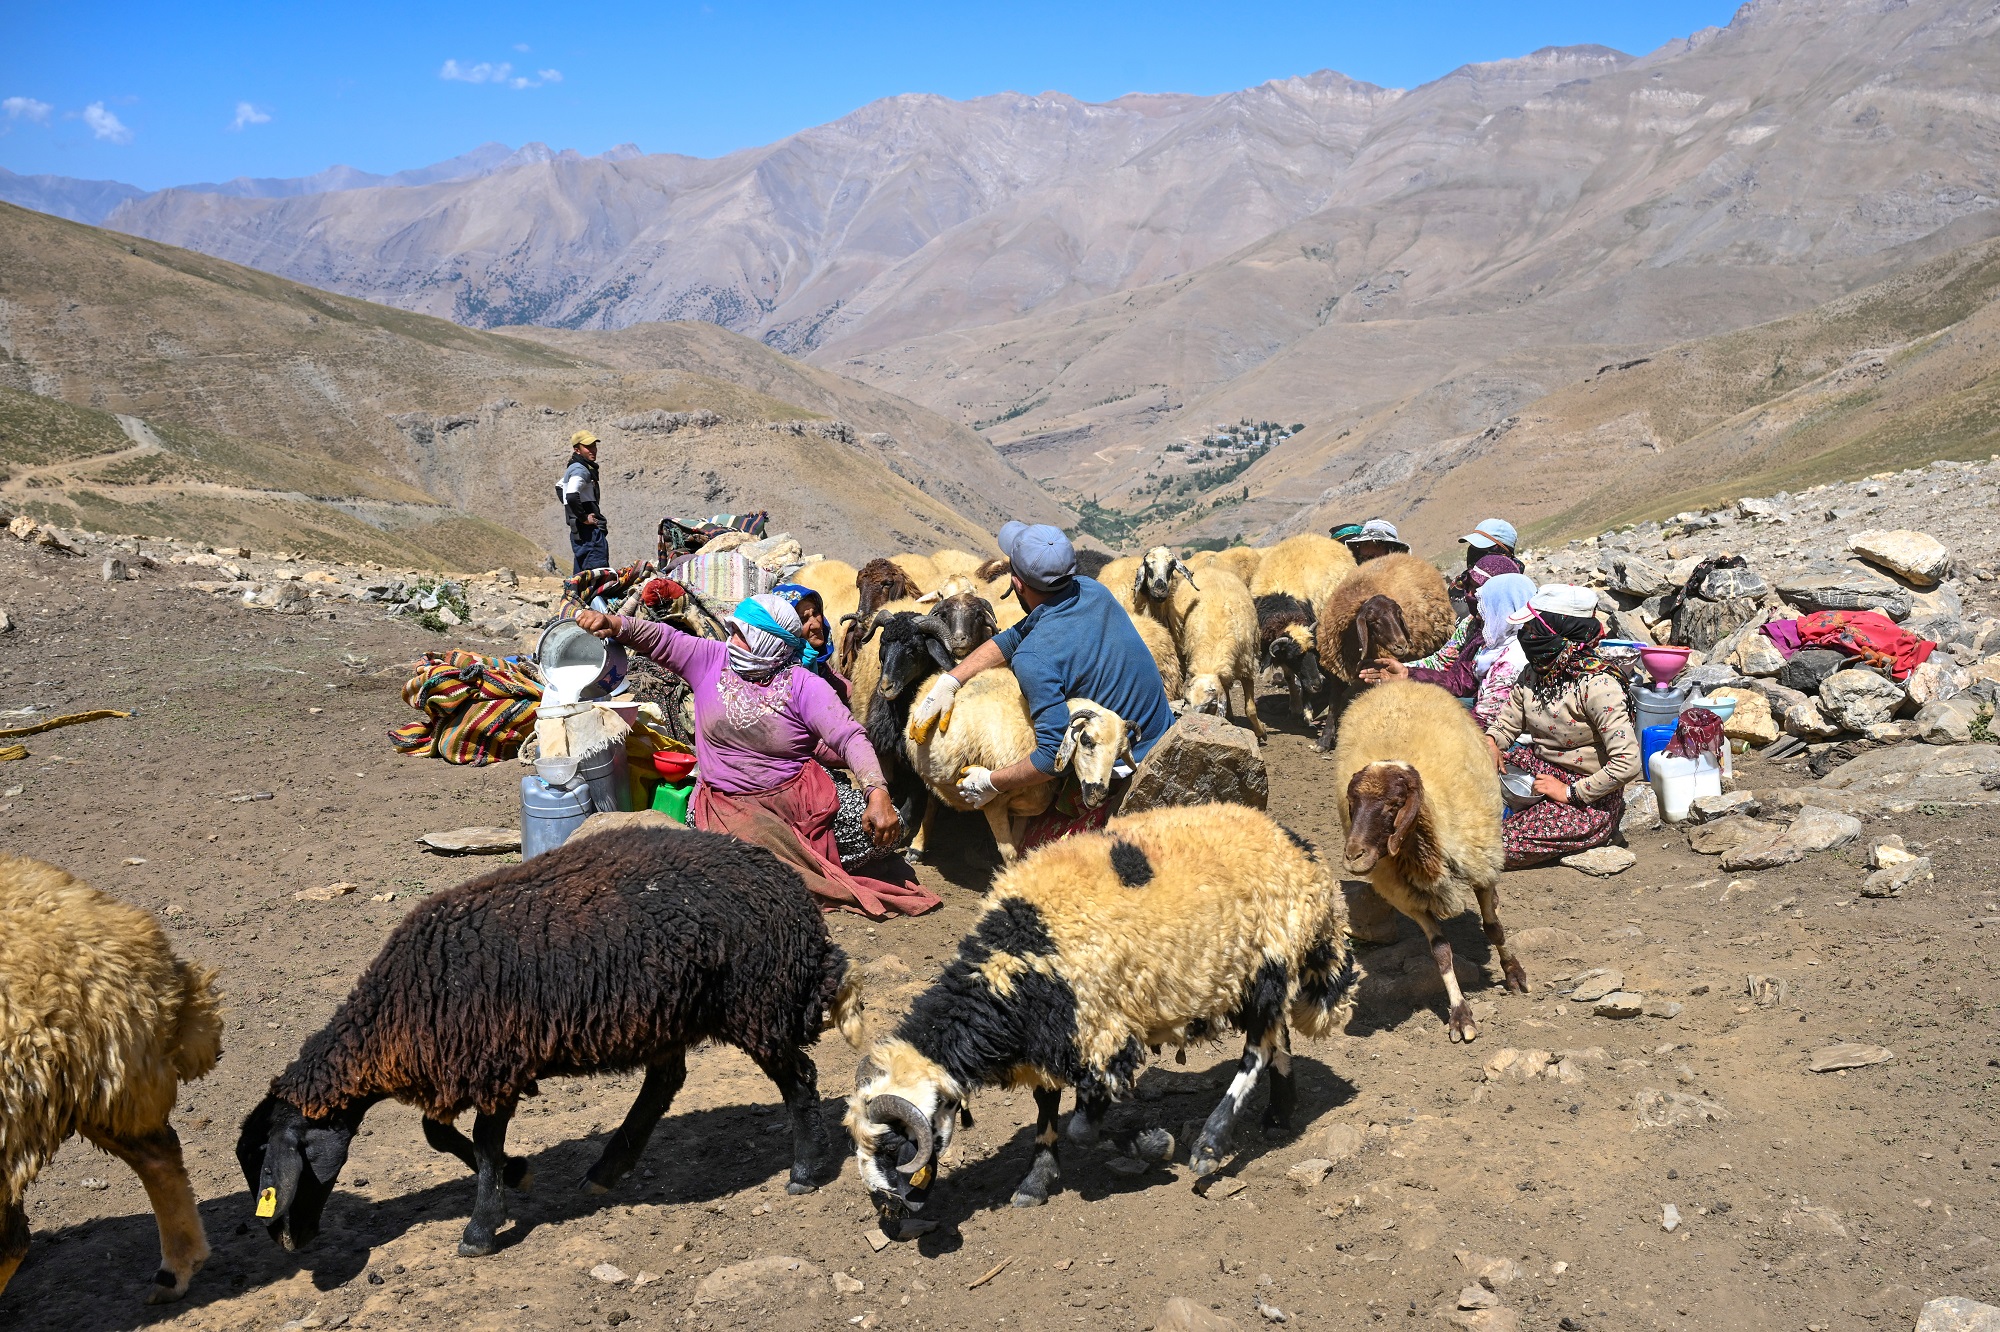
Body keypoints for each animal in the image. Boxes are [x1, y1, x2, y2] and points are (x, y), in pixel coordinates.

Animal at [1312, 548, 1456, 748]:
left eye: (1398, 615)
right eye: (1374, 621)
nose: (1402, 646)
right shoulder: (1336, 668)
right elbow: (1334, 702)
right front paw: (1324, 740)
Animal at [1328, 680, 1512, 1040]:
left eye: (1394, 804)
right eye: (1352, 803)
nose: (1353, 856)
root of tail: (1400, 682)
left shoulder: (1480, 869)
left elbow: (1494, 929)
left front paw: (1515, 975)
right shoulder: (1409, 898)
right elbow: (1441, 952)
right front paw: (1460, 1015)